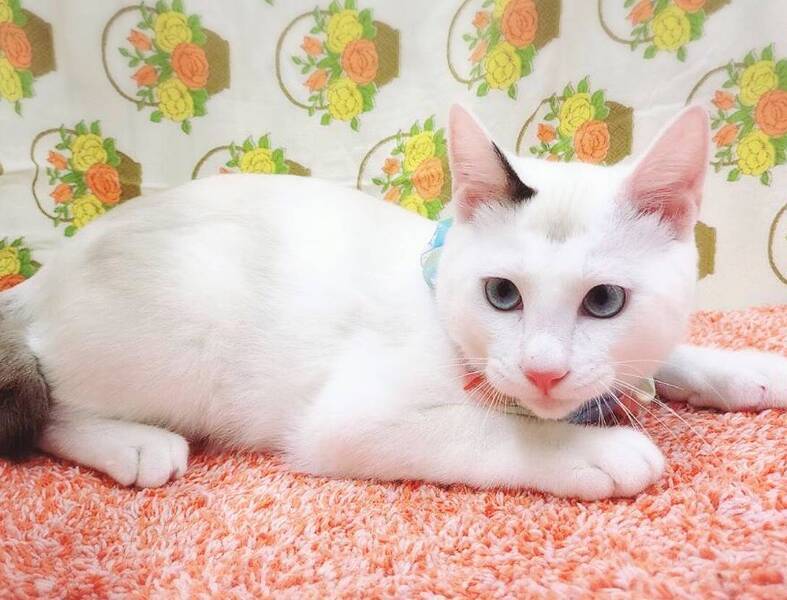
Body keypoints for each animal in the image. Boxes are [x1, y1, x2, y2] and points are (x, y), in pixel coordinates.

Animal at [1, 105, 785, 499]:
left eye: (604, 302)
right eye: (501, 294)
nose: (543, 372)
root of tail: (47, 272)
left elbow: (657, 361)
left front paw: (746, 369)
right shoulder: (346, 421)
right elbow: (490, 430)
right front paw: (593, 449)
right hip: (180, 339)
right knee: (49, 402)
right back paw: (133, 444)